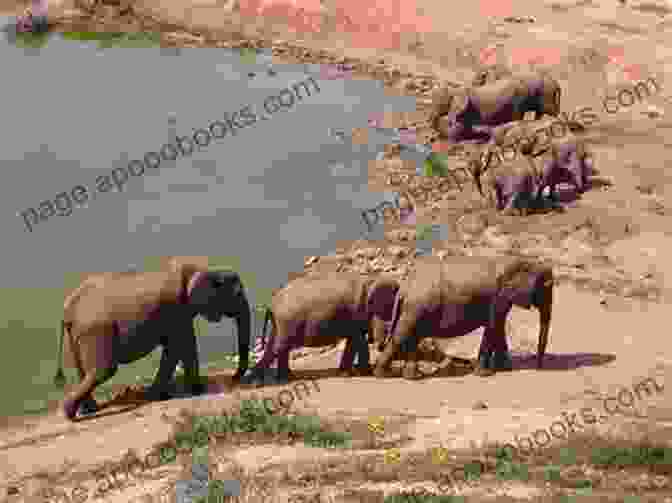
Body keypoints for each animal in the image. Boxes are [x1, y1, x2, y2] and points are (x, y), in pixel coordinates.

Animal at [53, 258, 251, 420]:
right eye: (237, 294)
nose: (233, 379)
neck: (207, 269)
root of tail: (68, 308)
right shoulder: (176, 308)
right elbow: (180, 346)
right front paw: (192, 392)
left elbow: (181, 347)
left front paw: (178, 393)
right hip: (96, 330)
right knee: (104, 369)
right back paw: (70, 413)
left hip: (77, 334)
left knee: (83, 371)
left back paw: (88, 410)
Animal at [240, 272, 400, 386]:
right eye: (389, 308)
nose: (380, 345)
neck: (371, 278)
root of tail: (271, 304)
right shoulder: (356, 311)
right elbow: (357, 339)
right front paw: (358, 373)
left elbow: (355, 340)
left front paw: (352, 373)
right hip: (286, 321)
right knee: (279, 346)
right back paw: (256, 383)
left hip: (280, 323)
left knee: (279, 346)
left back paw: (285, 378)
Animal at [372, 258, 552, 380]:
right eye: (547, 286)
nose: (539, 367)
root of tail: (404, 286)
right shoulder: (497, 297)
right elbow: (493, 327)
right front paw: (485, 374)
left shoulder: (501, 299)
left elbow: (498, 328)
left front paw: (505, 370)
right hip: (416, 308)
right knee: (402, 335)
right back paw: (383, 375)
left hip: (414, 309)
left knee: (412, 336)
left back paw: (412, 377)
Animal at [430, 71, 560, 143]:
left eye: (441, 104)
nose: (432, 139)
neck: (456, 89)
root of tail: (556, 83)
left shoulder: (465, 107)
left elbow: (458, 128)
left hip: (543, 95)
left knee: (548, 111)